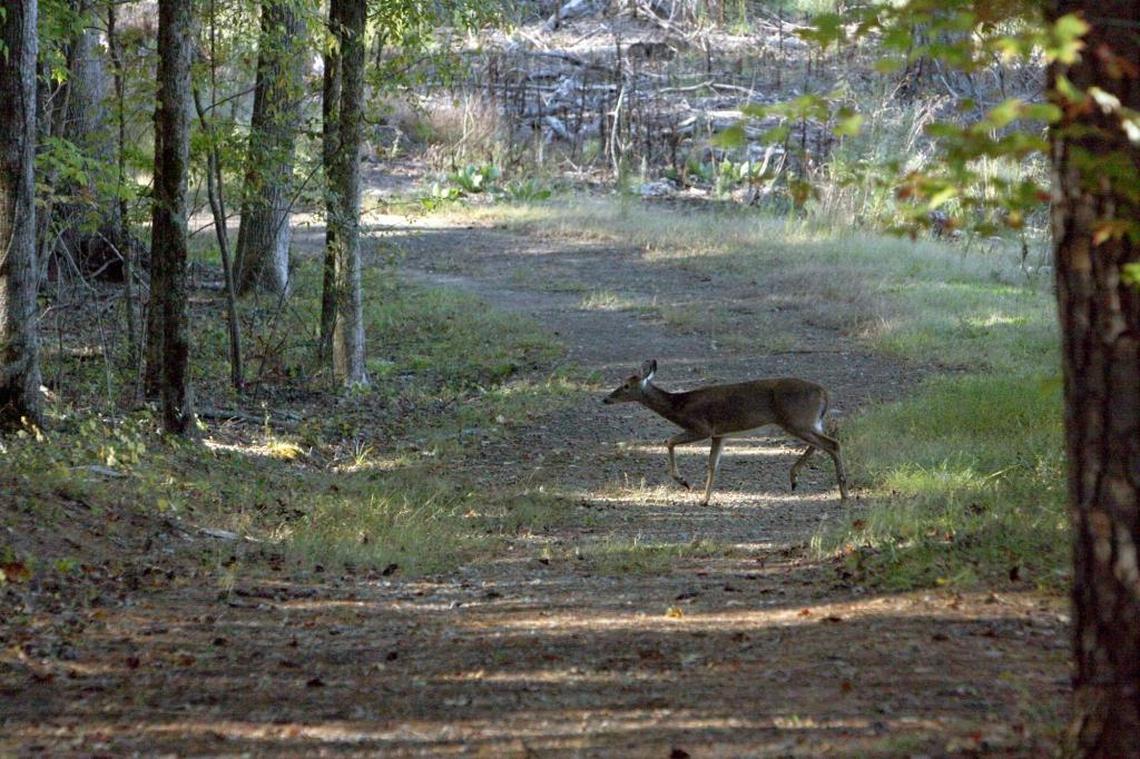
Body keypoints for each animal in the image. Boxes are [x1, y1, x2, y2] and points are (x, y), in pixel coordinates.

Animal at [603, 359, 849, 505]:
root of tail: (824, 393)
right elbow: (712, 464)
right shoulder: (719, 434)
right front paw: (705, 499)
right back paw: (795, 479)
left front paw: (684, 482)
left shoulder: (701, 427)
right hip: (805, 422)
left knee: (832, 444)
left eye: (626, 386)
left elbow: (669, 441)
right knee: (822, 444)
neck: (679, 406)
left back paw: (843, 493)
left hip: (797, 420)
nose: (606, 399)